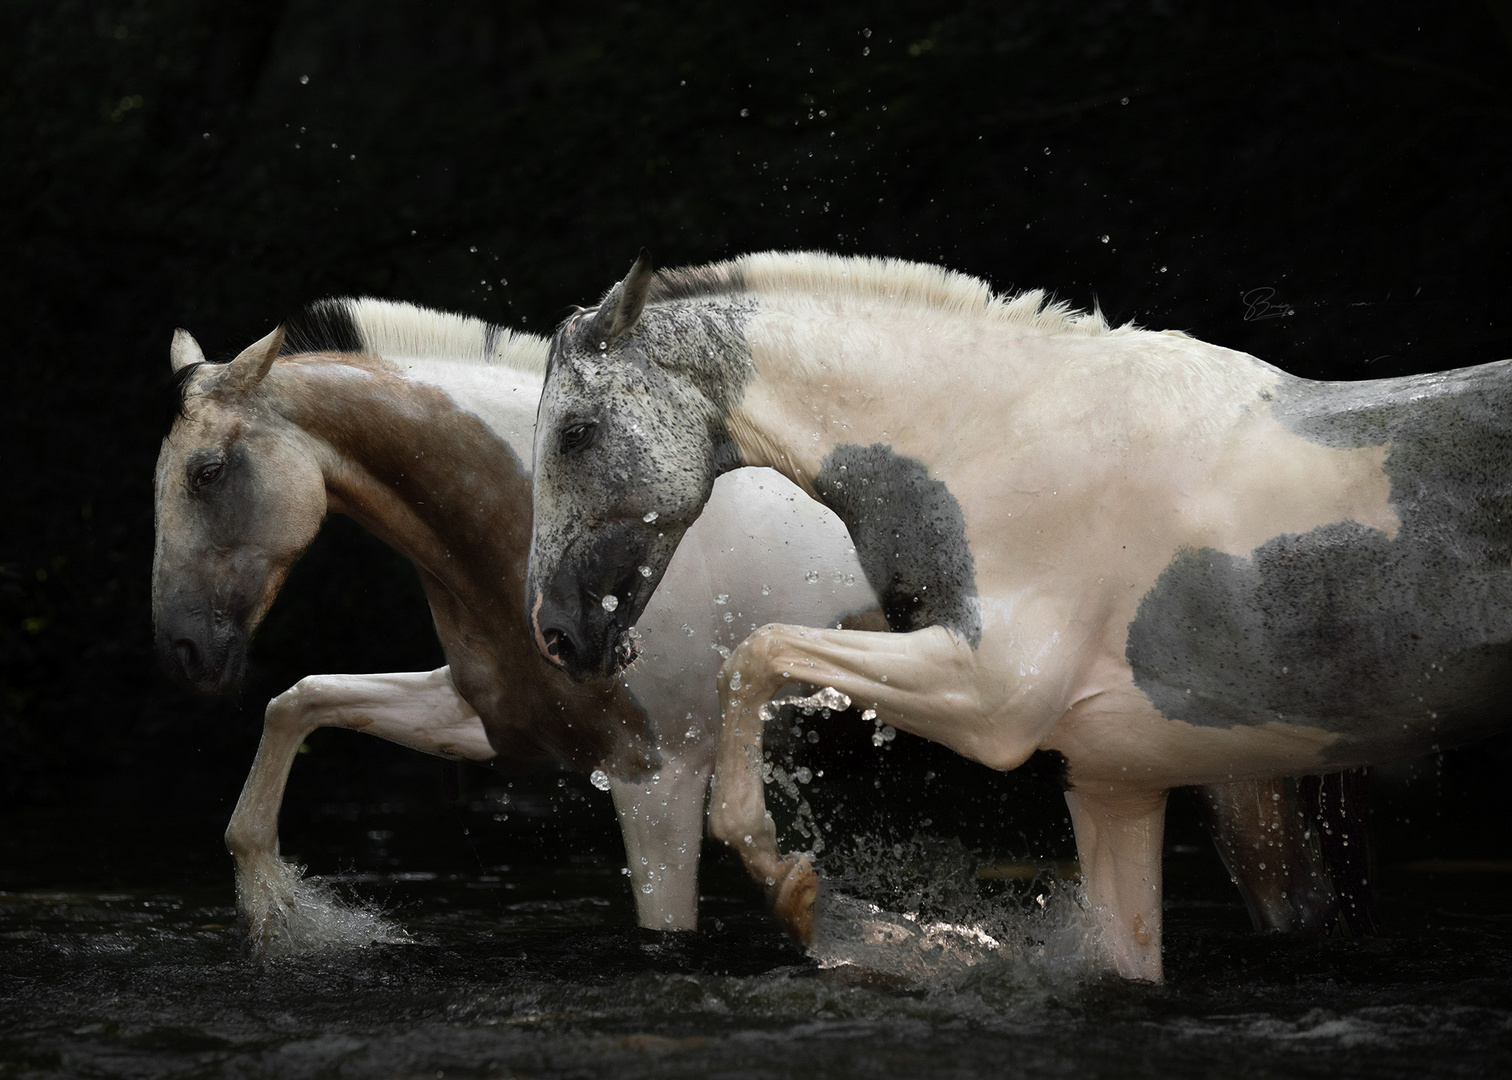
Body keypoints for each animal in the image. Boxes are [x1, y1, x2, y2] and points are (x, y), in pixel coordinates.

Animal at [523, 252, 1512, 974]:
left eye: (575, 433)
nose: (557, 634)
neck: (996, 442)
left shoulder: (992, 700)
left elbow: (754, 656)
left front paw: (791, 890)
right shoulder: (1114, 786)